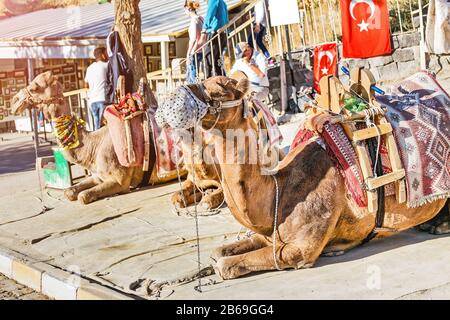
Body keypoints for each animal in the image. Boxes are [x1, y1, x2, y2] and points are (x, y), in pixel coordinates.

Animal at [11, 70, 224, 208]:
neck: (93, 146)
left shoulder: (119, 181)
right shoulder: (98, 176)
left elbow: (83, 197)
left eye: (36, 86)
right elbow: (70, 192)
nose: (14, 102)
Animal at [156, 75, 450, 280]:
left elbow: (225, 266)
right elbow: (218, 253)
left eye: (218, 90)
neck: (279, 190)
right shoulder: (269, 236)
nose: (170, 102)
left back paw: (438, 225)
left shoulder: (299, 249)